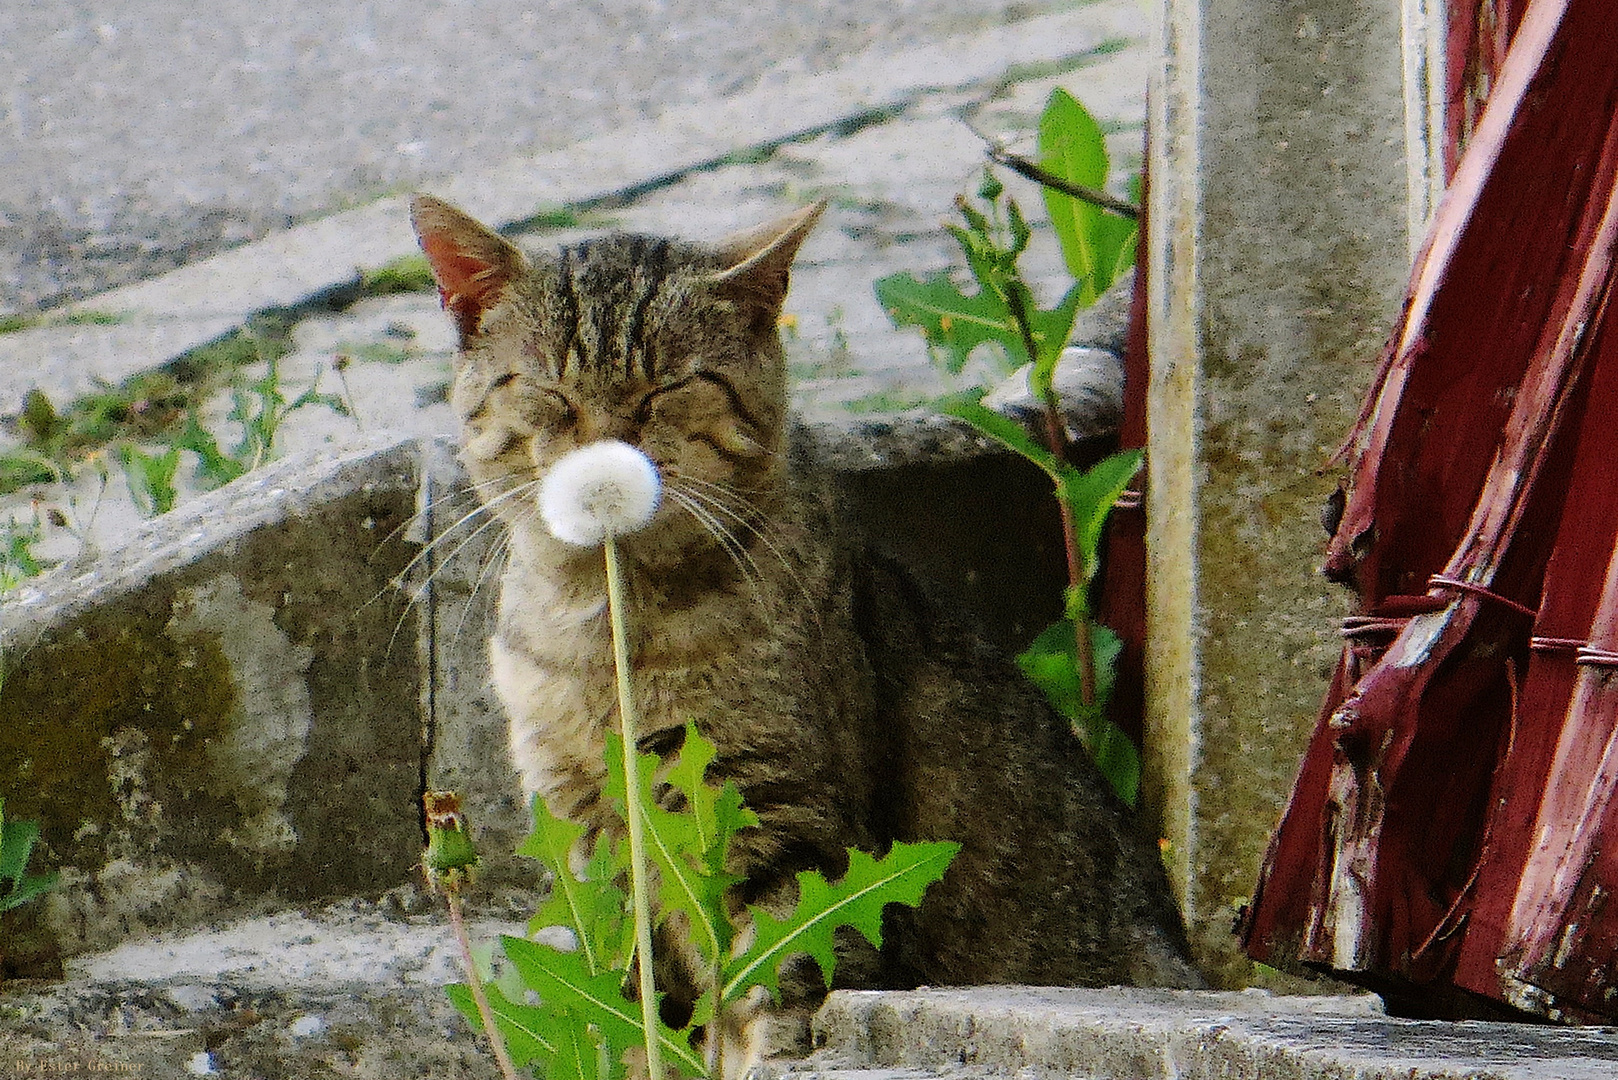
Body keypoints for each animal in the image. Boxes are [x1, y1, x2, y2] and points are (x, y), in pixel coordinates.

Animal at [410, 196, 1210, 1075]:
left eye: (670, 388)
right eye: (549, 390)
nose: (606, 453)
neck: (609, 629)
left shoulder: (782, 820)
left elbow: (782, 980)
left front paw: (770, 1053)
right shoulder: (591, 838)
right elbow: (637, 1012)